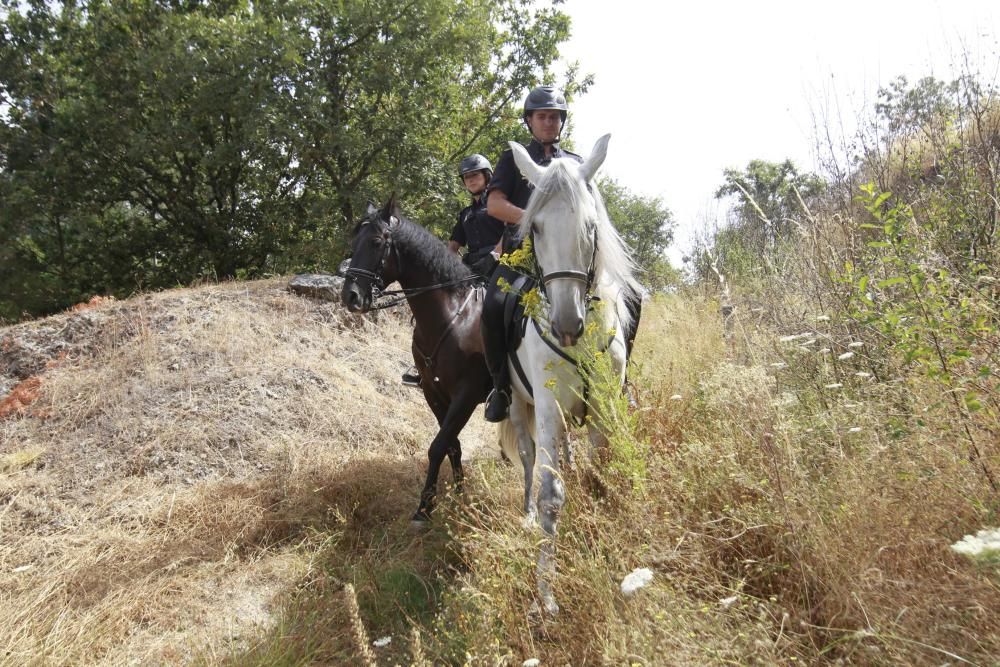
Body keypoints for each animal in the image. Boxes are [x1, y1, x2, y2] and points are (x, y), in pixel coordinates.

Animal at [340, 196, 492, 524]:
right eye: (353, 242)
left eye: (375, 242)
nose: (350, 297)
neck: (453, 317)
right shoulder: (433, 392)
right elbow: (452, 446)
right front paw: (458, 496)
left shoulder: (467, 394)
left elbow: (438, 446)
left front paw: (424, 509)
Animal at [498, 134, 640, 616]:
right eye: (536, 229)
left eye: (590, 226)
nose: (565, 324)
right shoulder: (545, 405)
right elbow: (549, 494)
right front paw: (546, 592)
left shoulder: (602, 406)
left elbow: (599, 474)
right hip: (518, 406)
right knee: (527, 457)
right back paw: (524, 514)